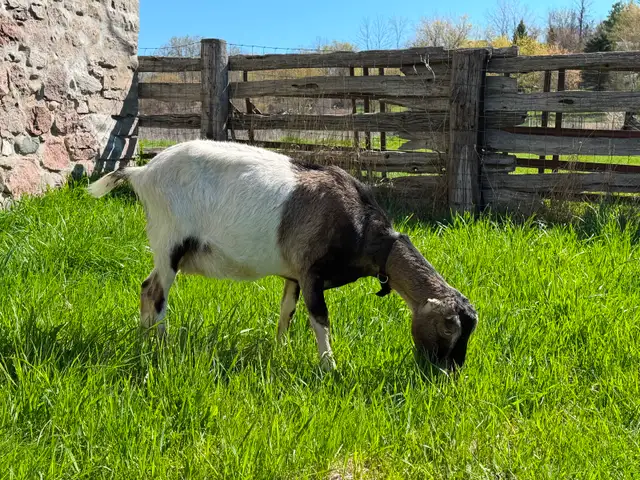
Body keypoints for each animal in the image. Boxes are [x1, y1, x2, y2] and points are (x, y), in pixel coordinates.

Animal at [88, 140, 478, 371]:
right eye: (450, 329)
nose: (449, 374)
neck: (363, 228)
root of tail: (142, 172)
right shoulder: (310, 273)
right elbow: (320, 319)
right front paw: (330, 367)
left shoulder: (293, 275)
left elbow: (286, 312)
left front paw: (281, 350)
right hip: (170, 241)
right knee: (157, 293)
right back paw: (163, 348)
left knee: (145, 287)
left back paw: (143, 340)